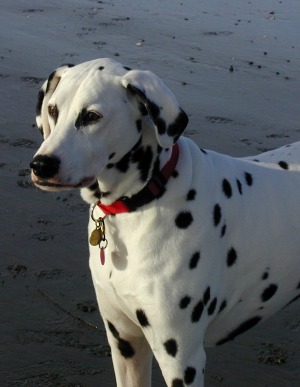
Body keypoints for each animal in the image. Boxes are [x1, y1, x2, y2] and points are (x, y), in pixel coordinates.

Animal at [29, 58, 300, 387]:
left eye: (92, 116)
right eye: (53, 110)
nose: (41, 165)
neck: (145, 201)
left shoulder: (182, 359)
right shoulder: (125, 342)